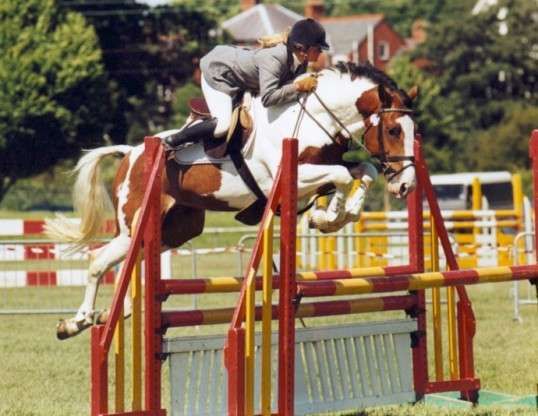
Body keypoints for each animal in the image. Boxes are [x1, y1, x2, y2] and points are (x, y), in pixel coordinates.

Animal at [46, 62, 416, 342]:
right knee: (98, 261)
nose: (406, 185)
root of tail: (131, 153)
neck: (316, 119)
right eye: (394, 130)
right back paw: (75, 322)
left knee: (131, 268)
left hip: (174, 231)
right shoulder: (293, 177)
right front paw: (328, 216)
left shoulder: (320, 173)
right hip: (131, 227)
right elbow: (341, 175)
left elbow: (363, 170)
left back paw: (106, 315)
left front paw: (336, 215)